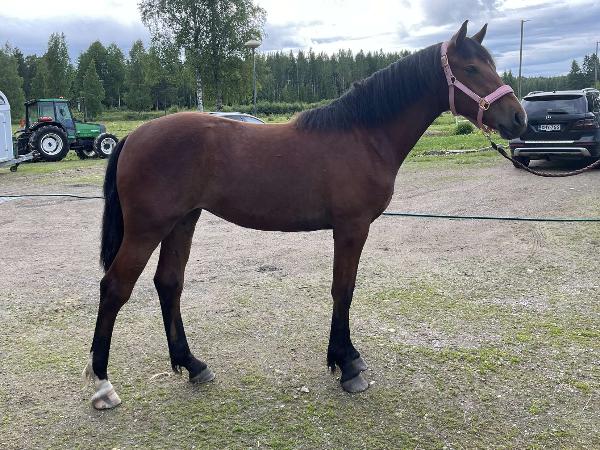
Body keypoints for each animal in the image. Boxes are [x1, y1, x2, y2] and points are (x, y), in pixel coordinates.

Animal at [83, 20, 527, 409]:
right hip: (147, 229)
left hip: (182, 222)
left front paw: (347, 358)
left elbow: (344, 290)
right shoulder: (351, 228)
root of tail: (133, 136)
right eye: (471, 68)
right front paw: (347, 366)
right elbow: (343, 290)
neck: (363, 135)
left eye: (491, 63)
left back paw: (193, 365)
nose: (518, 117)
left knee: (168, 284)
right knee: (115, 288)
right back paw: (103, 386)